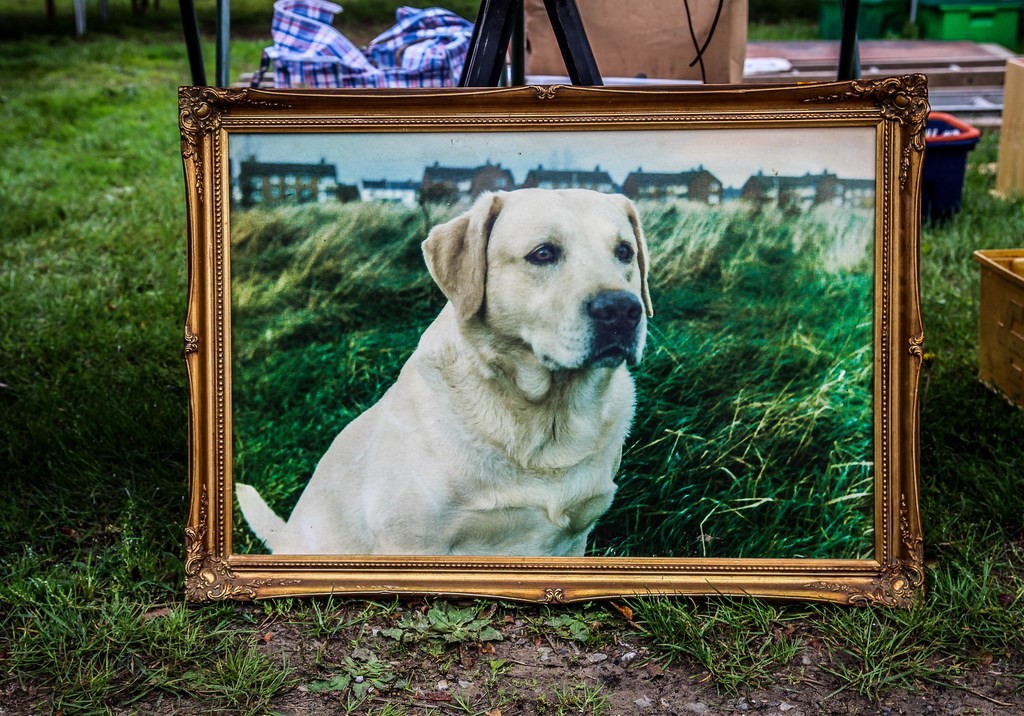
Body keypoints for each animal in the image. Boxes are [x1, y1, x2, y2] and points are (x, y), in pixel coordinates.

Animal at [235, 187, 651, 557]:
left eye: (624, 252)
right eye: (543, 253)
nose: (622, 310)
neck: (545, 422)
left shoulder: (573, 540)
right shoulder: (409, 541)